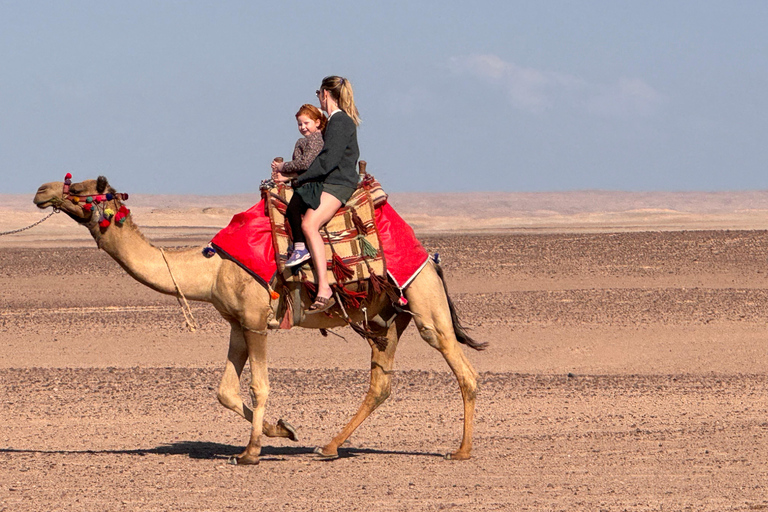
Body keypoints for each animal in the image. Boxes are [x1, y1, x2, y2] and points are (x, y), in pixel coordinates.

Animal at [33, 175, 486, 464]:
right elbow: (225, 392)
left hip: (424, 304)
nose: (41, 191)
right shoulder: (236, 323)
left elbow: (259, 385)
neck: (211, 268)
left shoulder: (255, 320)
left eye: (79, 187)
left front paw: (250, 453)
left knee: (464, 371)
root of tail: (431, 259)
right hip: (387, 317)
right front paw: (282, 431)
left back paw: (460, 451)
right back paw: (329, 447)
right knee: (380, 383)